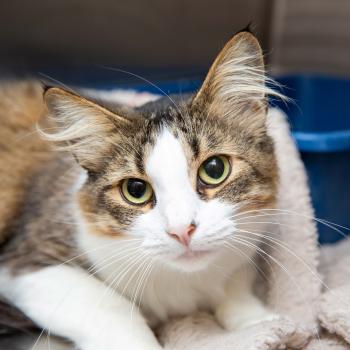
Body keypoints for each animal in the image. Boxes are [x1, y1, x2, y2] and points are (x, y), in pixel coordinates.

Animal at [0, 31, 282, 348]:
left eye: (214, 170)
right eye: (135, 190)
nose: (182, 231)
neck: (186, 283)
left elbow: (236, 287)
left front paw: (259, 322)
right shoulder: (27, 263)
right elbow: (116, 310)